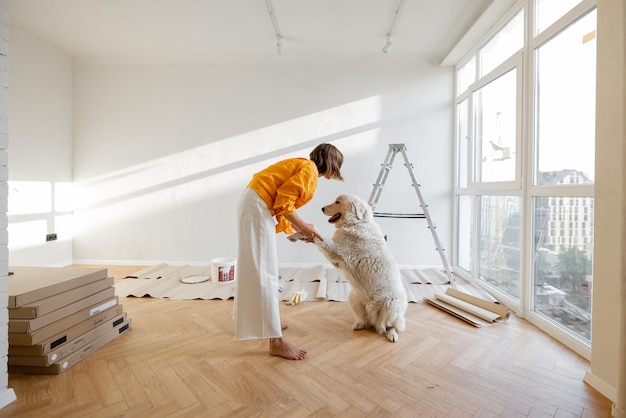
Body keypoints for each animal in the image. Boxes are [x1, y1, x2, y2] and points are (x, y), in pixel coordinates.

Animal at [290, 194, 408, 342]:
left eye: (337, 202)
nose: (322, 208)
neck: (355, 223)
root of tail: (375, 321)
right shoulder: (336, 260)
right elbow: (312, 235)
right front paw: (295, 235)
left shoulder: (335, 251)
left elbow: (319, 237)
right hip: (354, 298)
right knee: (365, 319)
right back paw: (359, 324)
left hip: (392, 304)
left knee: (392, 326)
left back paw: (391, 334)